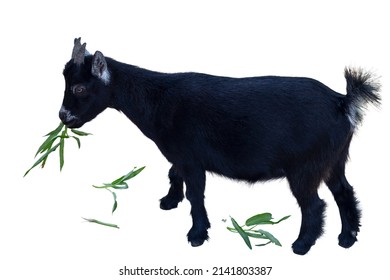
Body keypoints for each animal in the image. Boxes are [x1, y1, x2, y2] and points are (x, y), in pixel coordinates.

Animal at [59, 38, 380, 255]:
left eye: (79, 88)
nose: (64, 117)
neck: (158, 100)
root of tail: (342, 102)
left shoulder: (191, 159)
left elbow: (195, 194)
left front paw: (197, 235)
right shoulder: (180, 156)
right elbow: (173, 174)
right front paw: (169, 202)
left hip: (306, 166)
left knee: (313, 204)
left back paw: (301, 245)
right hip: (335, 160)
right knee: (343, 192)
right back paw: (348, 238)